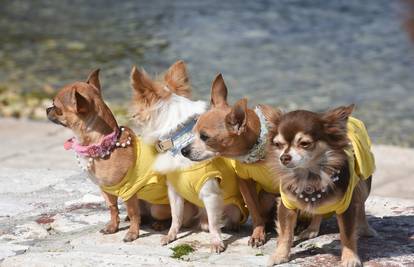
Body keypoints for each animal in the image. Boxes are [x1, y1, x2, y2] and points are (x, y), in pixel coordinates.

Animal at [46, 69, 171, 243]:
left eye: (56, 107)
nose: (47, 109)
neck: (104, 145)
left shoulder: (128, 192)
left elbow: (132, 213)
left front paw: (132, 233)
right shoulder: (106, 190)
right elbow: (113, 209)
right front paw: (113, 227)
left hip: (158, 208)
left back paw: (160, 224)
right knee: (142, 214)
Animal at [264, 105, 376, 266]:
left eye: (304, 143)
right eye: (278, 144)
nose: (284, 157)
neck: (310, 178)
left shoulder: (346, 206)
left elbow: (347, 235)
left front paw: (350, 258)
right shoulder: (287, 205)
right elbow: (286, 233)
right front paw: (280, 255)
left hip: (363, 183)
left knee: (360, 204)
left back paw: (365, 228)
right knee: (319, 211)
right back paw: (312, 229)